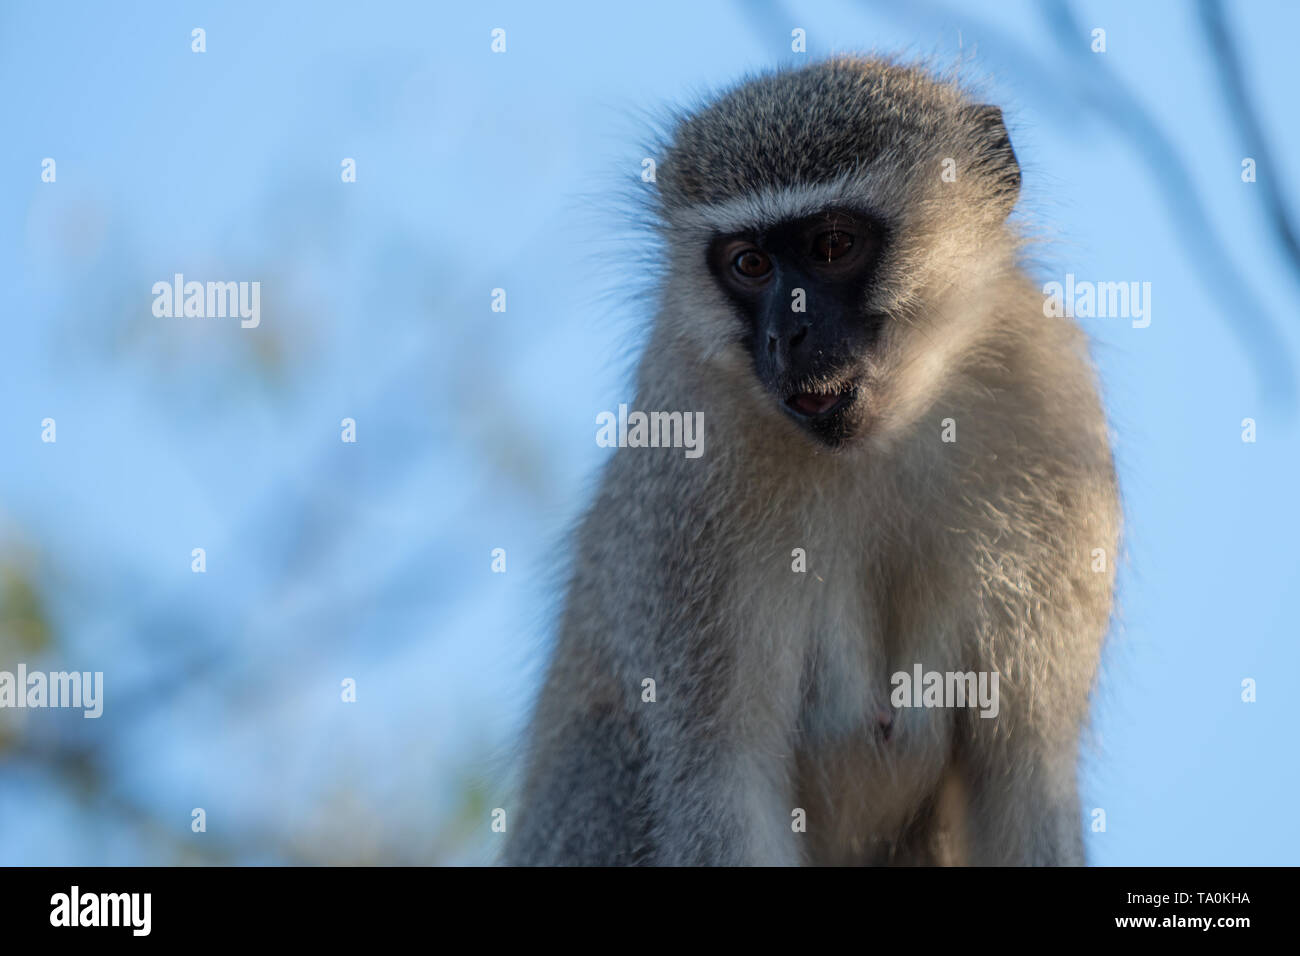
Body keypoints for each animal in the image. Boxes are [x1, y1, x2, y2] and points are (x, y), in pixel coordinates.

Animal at [504, 55, 1118, 868]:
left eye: (830, 246)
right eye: (750, 264)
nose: (783, 336)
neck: (885, 436)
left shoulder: (1054, 419)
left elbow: (1025, 781)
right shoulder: (689, 462)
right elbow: (721, 787)